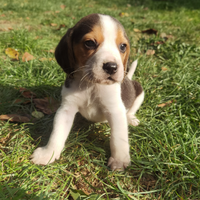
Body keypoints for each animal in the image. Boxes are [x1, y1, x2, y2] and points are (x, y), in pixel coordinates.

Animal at [30, 13, 144, 170]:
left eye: (122, 46)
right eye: (89, 43)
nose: (111, 67)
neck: (92, 85)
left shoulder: (115, 110)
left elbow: (118, 139)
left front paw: (119, 160)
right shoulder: (66, 109)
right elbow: (57, 133)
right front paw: (48, 153)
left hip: (140, 90)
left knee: (131, 110)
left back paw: (131, 119)